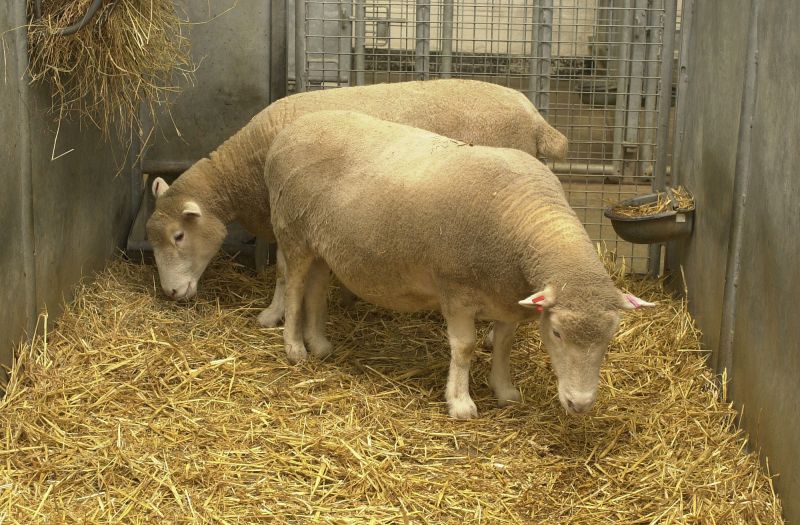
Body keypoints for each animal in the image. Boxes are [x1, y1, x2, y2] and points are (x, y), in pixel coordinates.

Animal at [145, 79, 569, 326]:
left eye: (179, 236)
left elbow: (283, 270)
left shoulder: (288, 215)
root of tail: (535, 118)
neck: (245, 168)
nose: (170, 294)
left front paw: (273, 314)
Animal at [265, 110, 653, 420]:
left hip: (323, 244)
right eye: (556, 333)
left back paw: (319, 343)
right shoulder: (455, 290)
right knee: (295, 286)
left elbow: (504, 343)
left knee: (316, 288)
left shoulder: (507, 296)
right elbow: (464, 347)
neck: (526, 223)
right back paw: (295, 349)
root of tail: (291, 128)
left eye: (611, 336)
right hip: (292, 231)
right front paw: (461, 403)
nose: (580, 405)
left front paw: (504, 390)